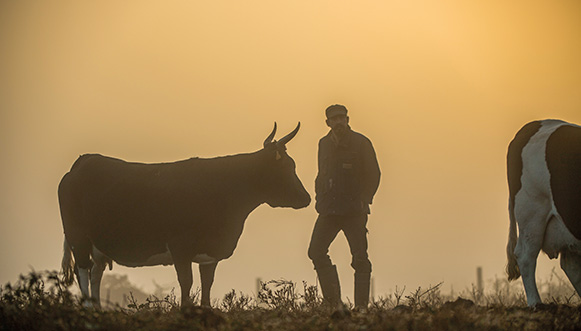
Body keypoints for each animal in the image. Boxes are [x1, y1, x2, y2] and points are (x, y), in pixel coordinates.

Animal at [59, 123, 310, 308]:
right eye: (287, 167)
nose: (306, 198)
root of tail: (84, 161)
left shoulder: (209, 254)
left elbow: (207, 286)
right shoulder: (180, 247)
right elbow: (186, 283)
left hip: (97, 246)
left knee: (95, 273)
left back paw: (99, 311)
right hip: (78, 238)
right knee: (83, 271)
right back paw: (89, 311)